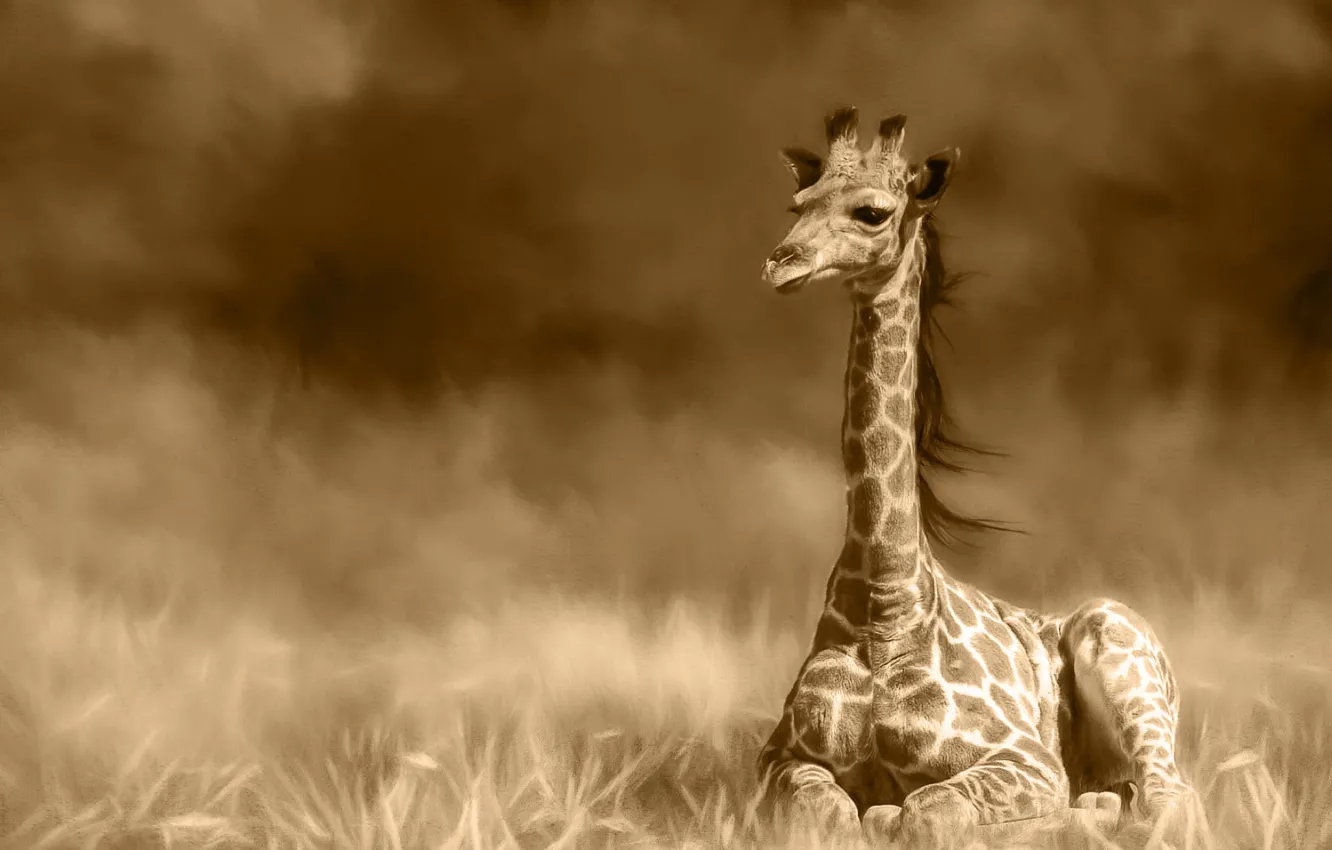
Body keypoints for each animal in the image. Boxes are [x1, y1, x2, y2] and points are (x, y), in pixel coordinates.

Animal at [755, 107, 1200, 848]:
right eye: (797, 206)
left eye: (872, 212)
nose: (780, 262)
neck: (885, 602)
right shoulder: (776, 758)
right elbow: (828, 814)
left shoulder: (1025, 761)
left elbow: (930, 808)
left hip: (1120, 648)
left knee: (1169, 799)